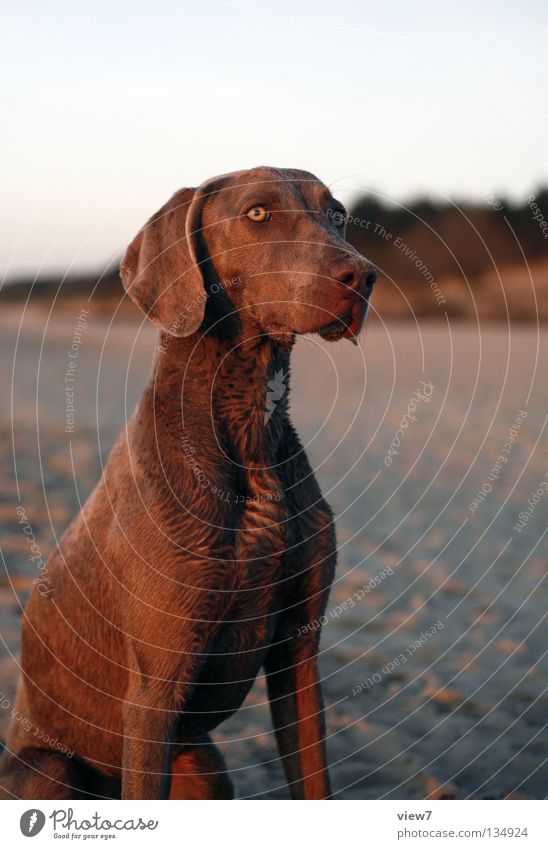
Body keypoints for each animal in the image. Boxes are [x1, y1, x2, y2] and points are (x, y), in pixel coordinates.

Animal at [0, 164, 374, 796]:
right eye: (256, 212)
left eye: (339, 214)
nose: (362, 276)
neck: (247, 431)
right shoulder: (156, 688)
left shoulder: (299, 655)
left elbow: (314, 780)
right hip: (51, 769)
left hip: (204, 764)